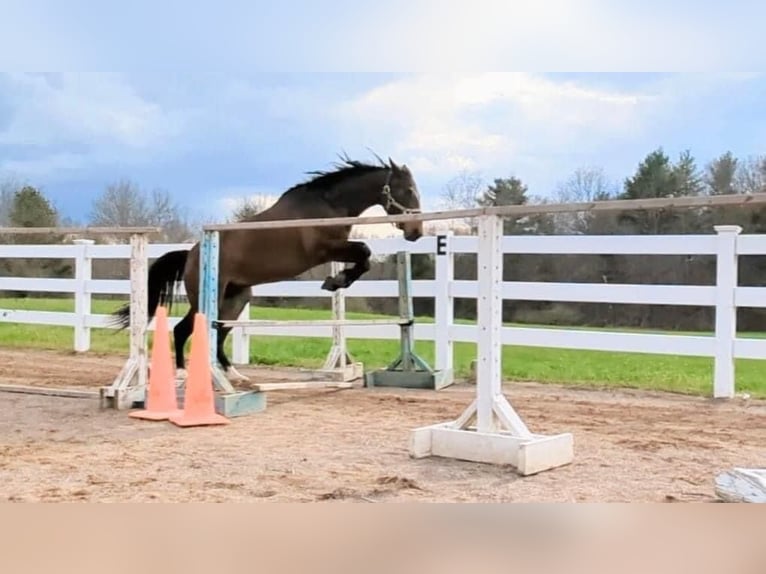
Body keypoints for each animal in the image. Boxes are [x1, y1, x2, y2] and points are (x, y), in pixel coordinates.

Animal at [112, 155, 426, 384]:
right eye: (409, 191)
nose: (416, 232)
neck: (328, 205)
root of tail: (191, 253)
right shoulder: (324, 250)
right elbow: (364, 252)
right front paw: (336, 281)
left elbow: (364, 256)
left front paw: (336, 280)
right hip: (207, 298)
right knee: (183, 330)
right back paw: (181, 373)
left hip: (236, 299)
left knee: (218, 334)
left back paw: (234, 375)